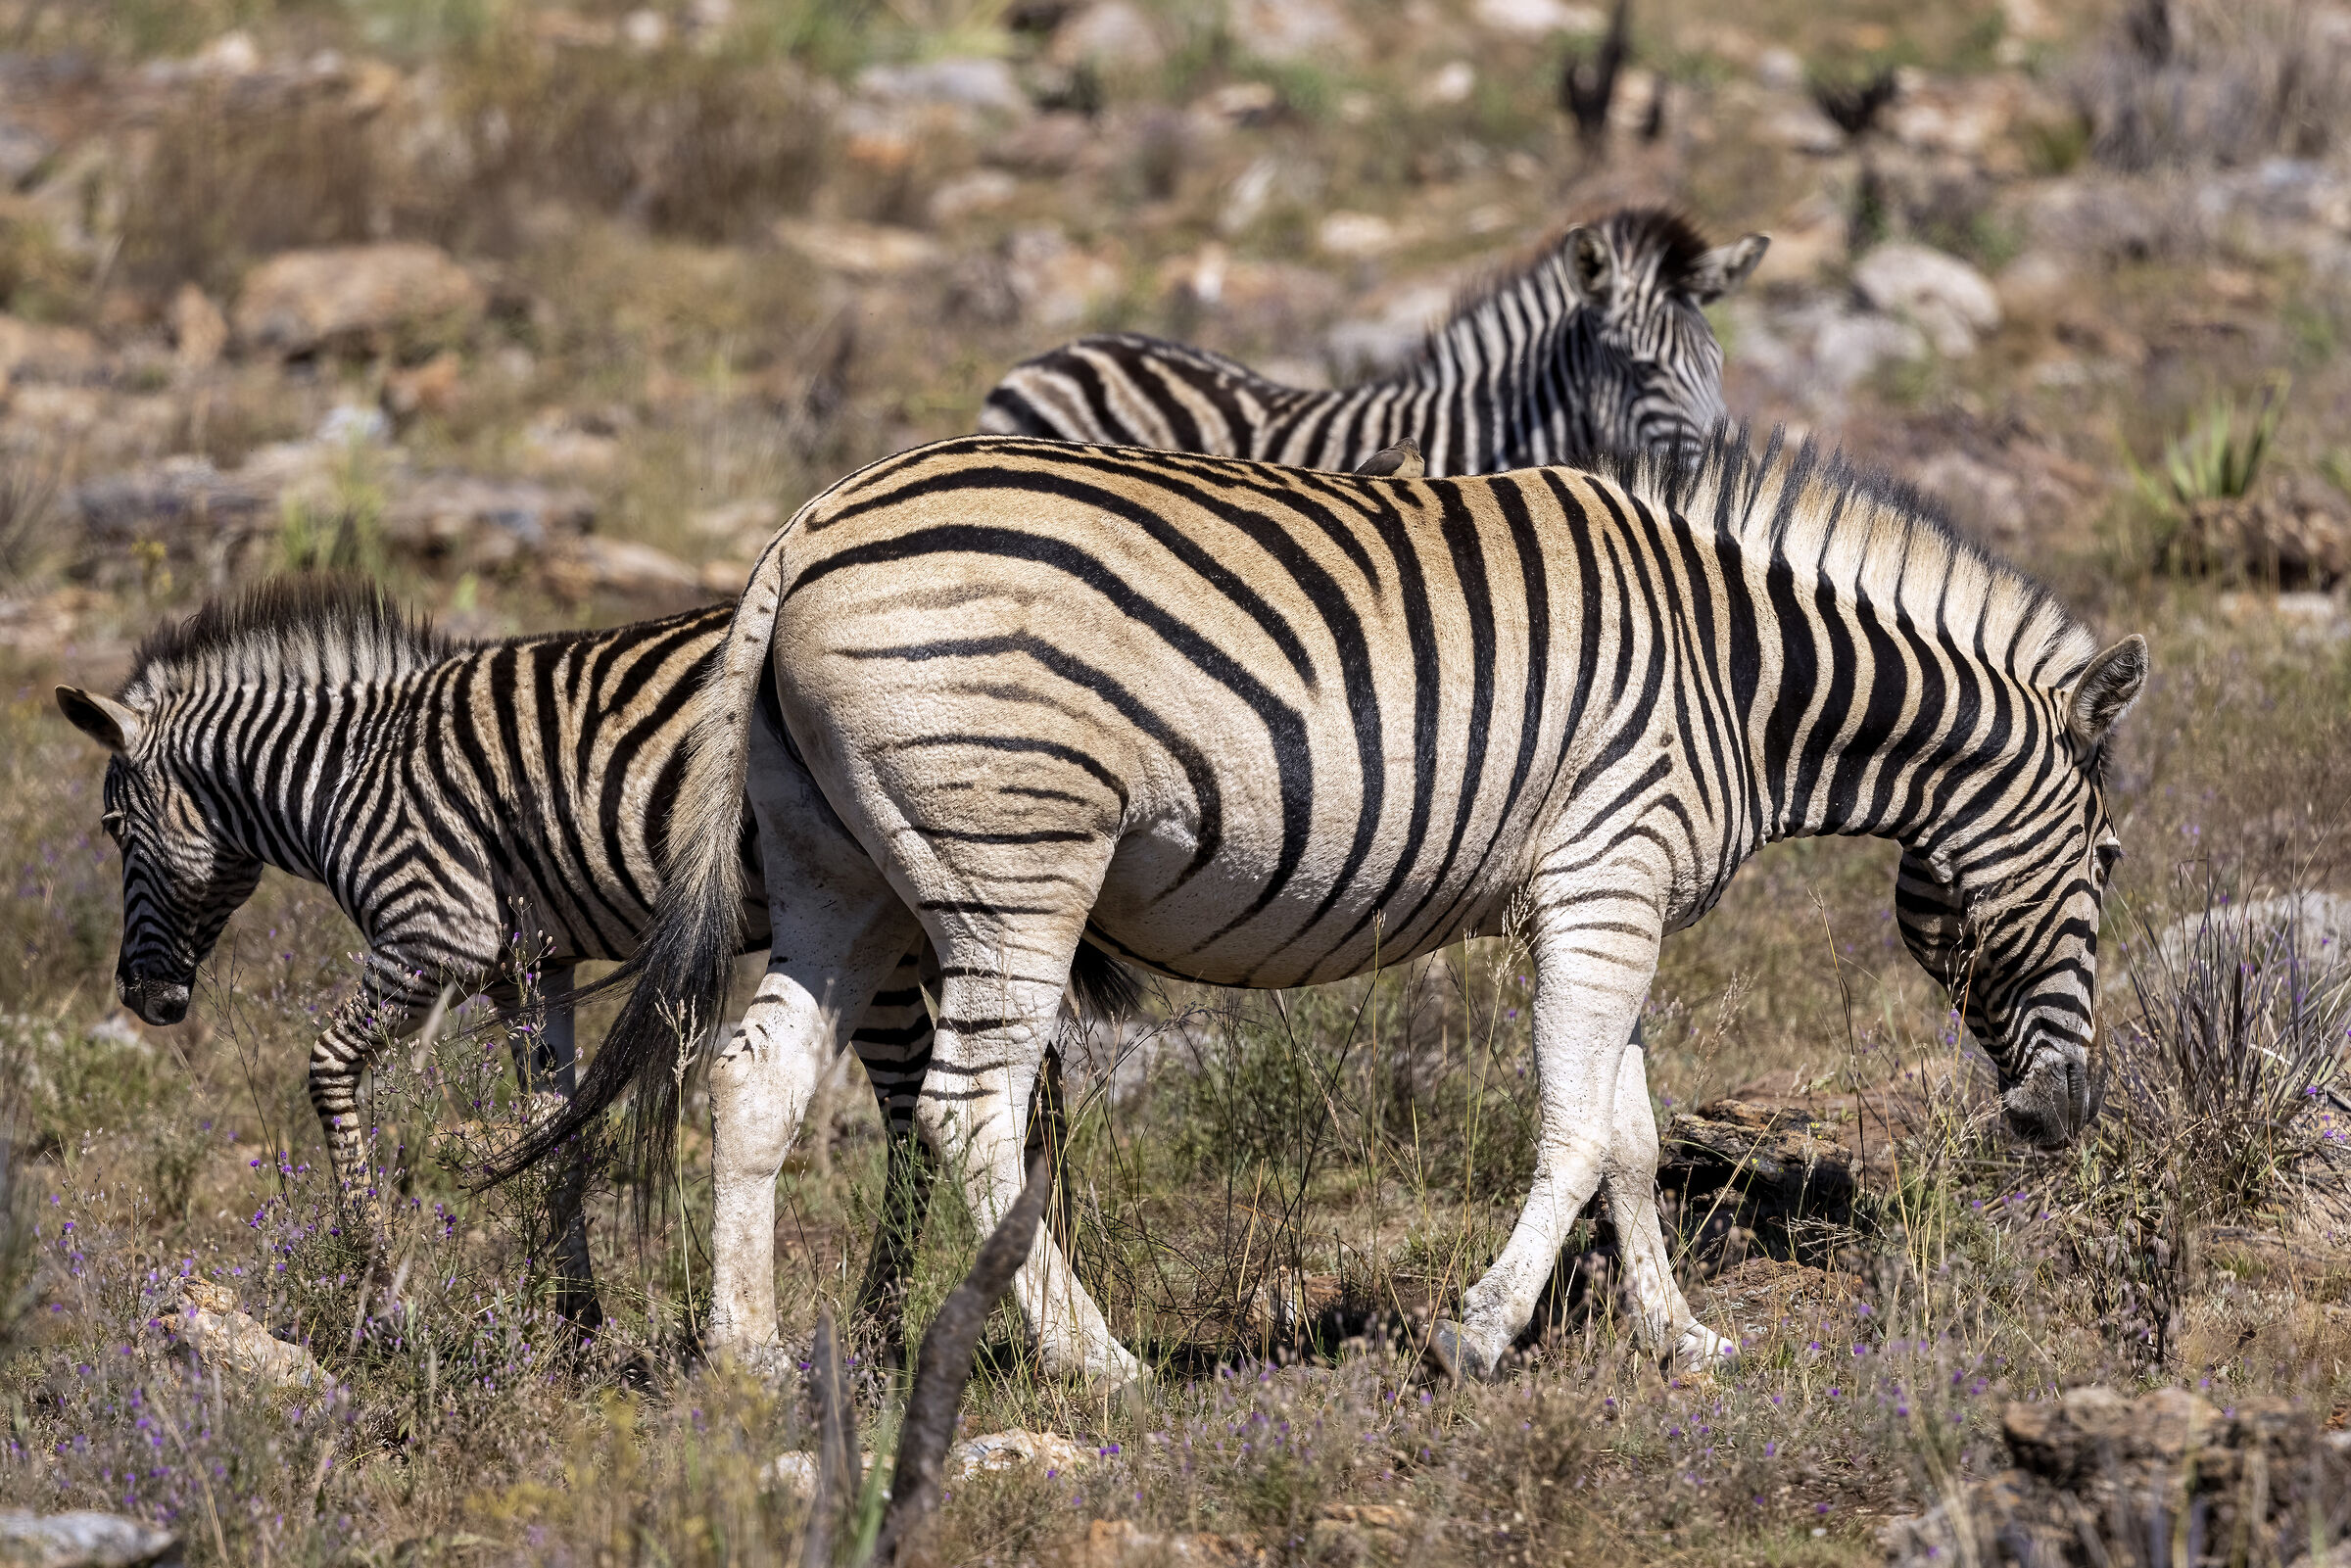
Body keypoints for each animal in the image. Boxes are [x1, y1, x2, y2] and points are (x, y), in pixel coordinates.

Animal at [53, 579, 1131, 1342]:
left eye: (111, 829)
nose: (142, 997)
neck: (348, 773)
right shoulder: (528, 966)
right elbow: (552, 1124)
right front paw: (573, 1317)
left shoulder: (432, 934)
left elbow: (326, 1071)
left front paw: (380, 1289)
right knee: (983, 1091)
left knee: (921, 1106)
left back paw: (884, 1324)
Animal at [503, 429, 2147, 1383]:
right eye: (2115, 863)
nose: (2062, 1119)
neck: (1745, 674)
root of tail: (805, 529)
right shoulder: (1608, 869)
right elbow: (1576, 1127)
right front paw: (1479, 1333)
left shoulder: (1609, 892)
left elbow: (1627, 1132)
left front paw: (1680, 1337)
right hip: (1014, 862)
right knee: (971, 1111)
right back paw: (1098, 1363)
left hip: (835, 873)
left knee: (755, 1075)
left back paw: (747, 1358)